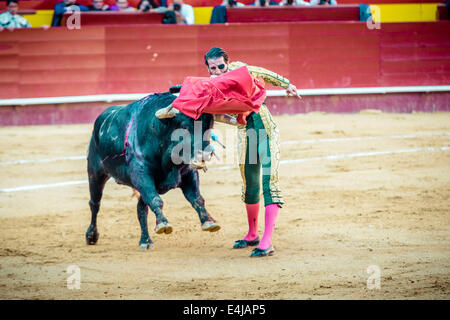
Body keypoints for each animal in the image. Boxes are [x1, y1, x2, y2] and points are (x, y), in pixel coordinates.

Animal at [85, 92, 220, 250]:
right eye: (184, 126)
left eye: (209, 127)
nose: (204, 154)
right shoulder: (142, 176)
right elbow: (156, 199)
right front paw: (163, 224)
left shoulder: (188, 174)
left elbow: (196, 198)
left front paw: (209, 221)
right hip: (95, 173)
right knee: (95, 204)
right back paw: (91, 236)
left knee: (141, 209)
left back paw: (145, 240)